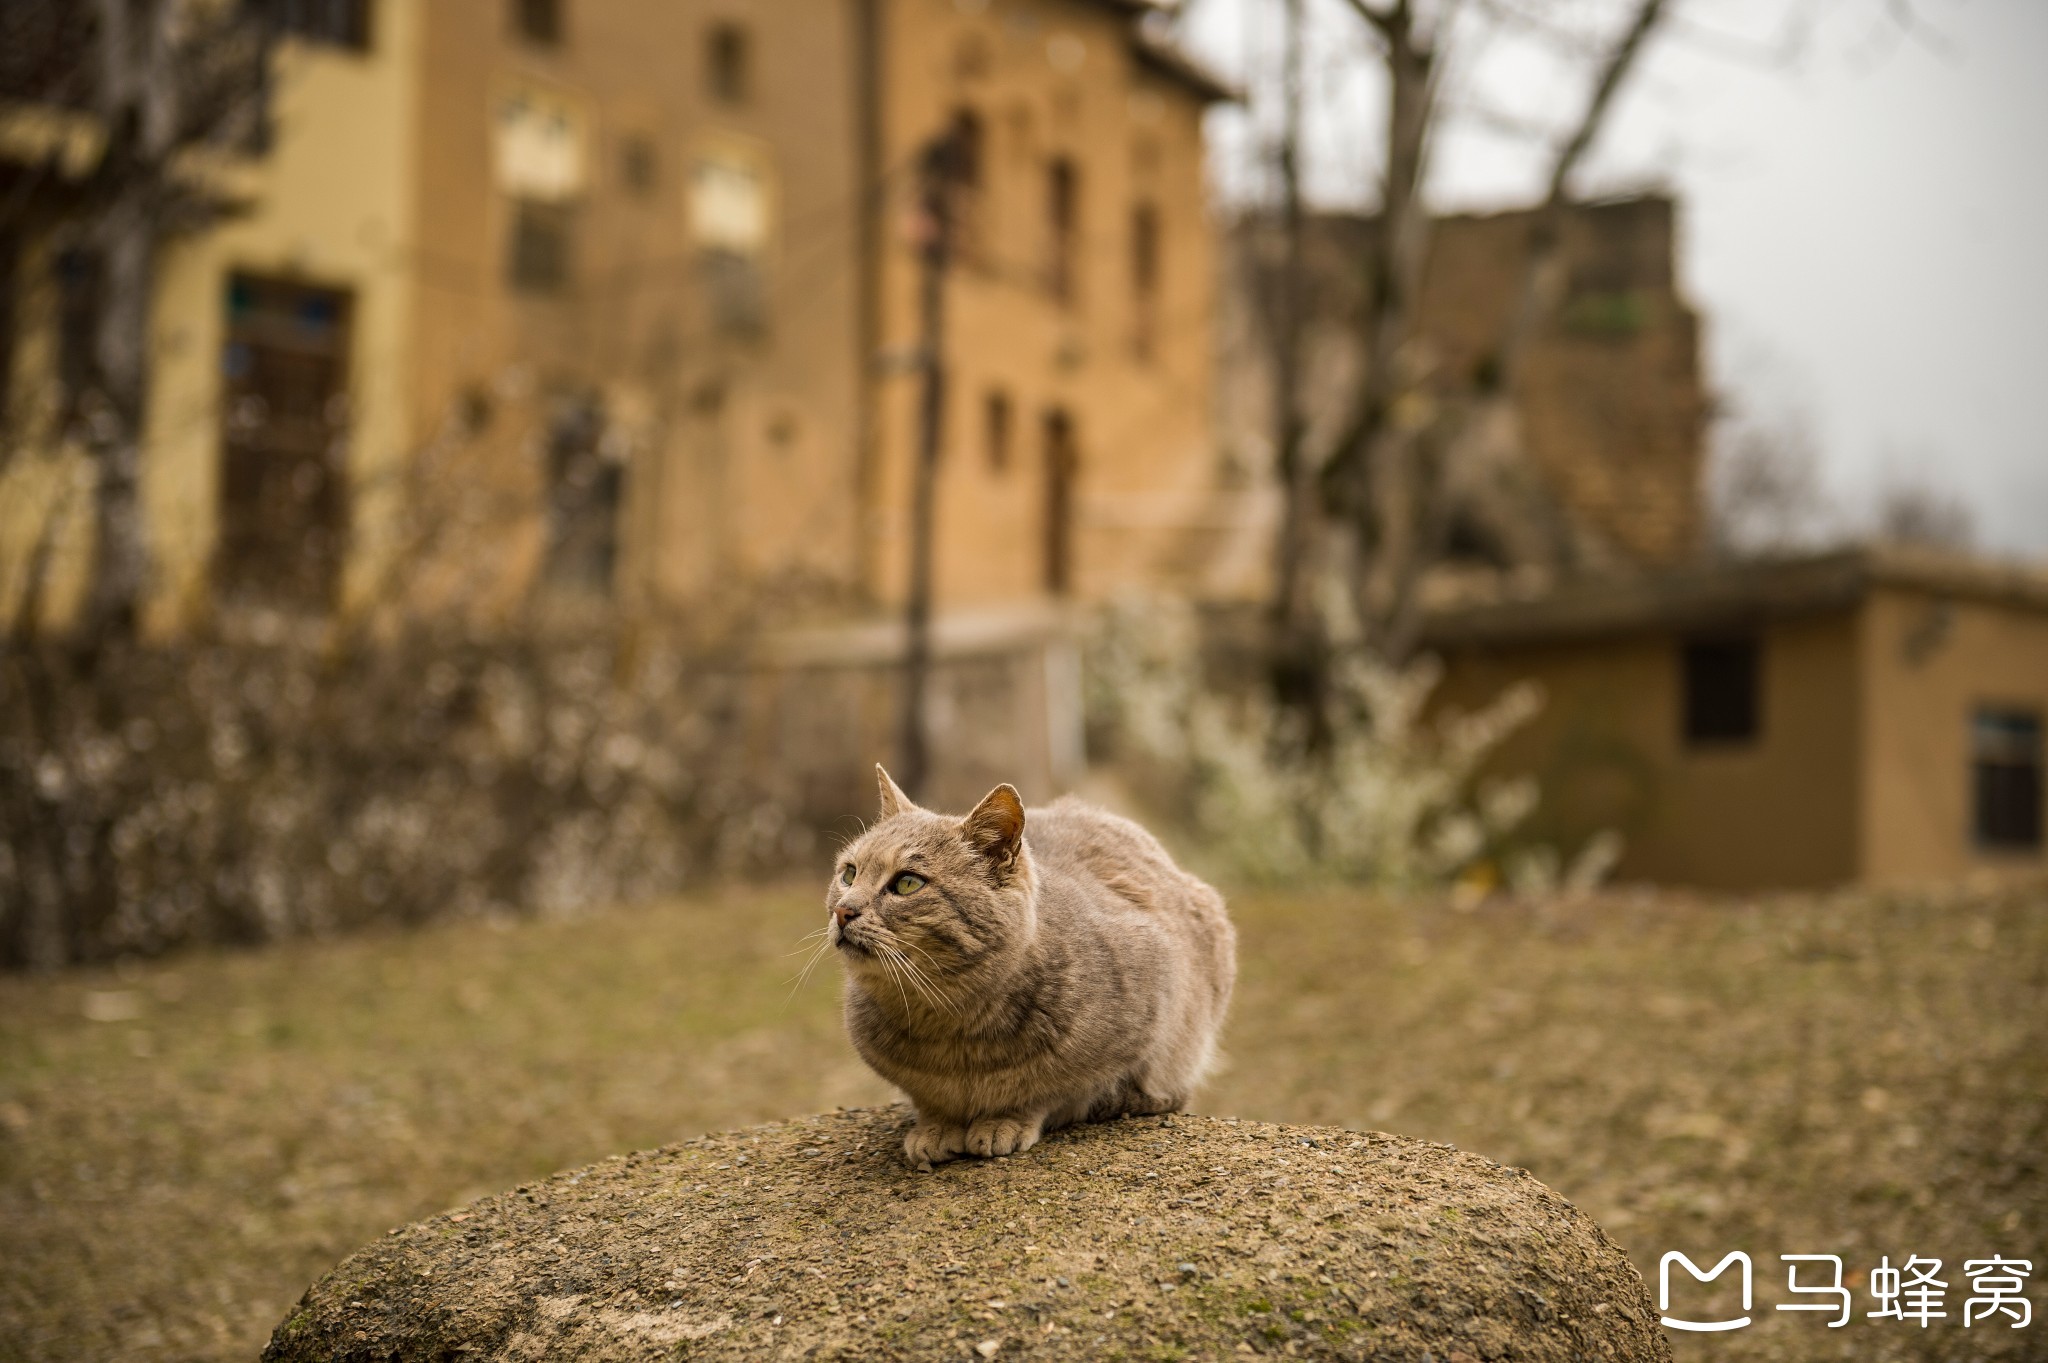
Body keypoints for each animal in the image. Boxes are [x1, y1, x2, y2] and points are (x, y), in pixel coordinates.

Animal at [827, 765, 1228, 1170]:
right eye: (849, 873)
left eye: (908, 883)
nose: (842, 910)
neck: (947, 1021)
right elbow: (932, 1101)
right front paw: (936, 1127)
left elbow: (1045, 1093)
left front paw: (1004, 1121)